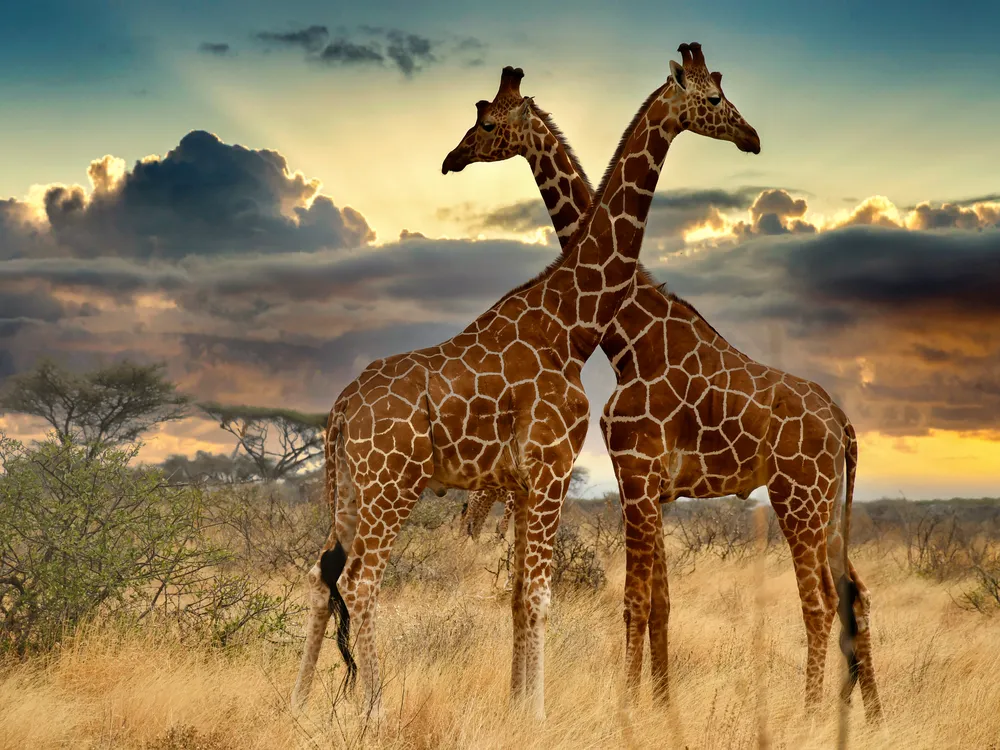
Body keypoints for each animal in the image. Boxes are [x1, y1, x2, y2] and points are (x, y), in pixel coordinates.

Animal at [292, 43, 761, 720]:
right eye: (716, 97)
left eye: (485, 121)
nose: (752, 137)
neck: (573, 324)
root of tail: (339, 411)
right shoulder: (551, 466)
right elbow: (540, 595)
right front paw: (537, 714)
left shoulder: (518, 481)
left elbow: (517, 596)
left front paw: (518, 706)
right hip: (392, 484)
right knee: (360, 581)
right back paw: (375, 708)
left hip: (350, 488)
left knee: (321, 575)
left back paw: (297, 706)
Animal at [442, 57, 882, 722]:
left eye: (487, 123)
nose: (452, 158)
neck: (630, 336)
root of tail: (844, 425)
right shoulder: (649, 483)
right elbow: (661, 604)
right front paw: (661, 705)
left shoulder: (637, 472)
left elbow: (634, 600)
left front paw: (628, 709)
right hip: (829, 504)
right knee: (856, 592)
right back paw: (871, 714)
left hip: (798, 497)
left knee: (821, 601)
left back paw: (808, 717)